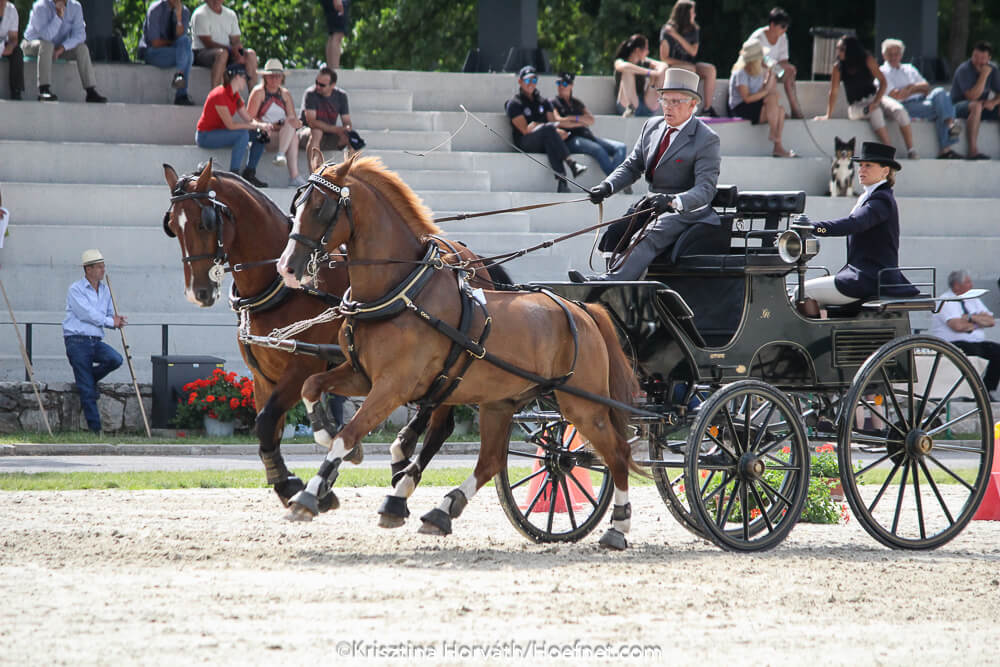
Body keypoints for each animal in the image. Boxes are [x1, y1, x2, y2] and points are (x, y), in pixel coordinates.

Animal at [162, 158, 511, 519]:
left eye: (205, 222)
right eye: (172, 224)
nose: (198, 292)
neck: (279, 289)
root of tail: (471, 258)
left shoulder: (302, 367)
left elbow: (268, 421)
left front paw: (298, 483)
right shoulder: (263, 377)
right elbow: (268, 430)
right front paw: (295, 482)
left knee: (440, 425)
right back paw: (401, 457)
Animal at [276, 151, 642, 550]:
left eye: (320, 207)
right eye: (296, 204)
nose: (287, 267)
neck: (402, 291)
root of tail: (583, 310)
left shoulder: (392, 387)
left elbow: (349, 434)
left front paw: (307, 497)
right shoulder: (362, 375)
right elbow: (312, 387)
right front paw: (323, 433)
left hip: (583, 405)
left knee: (618, 454)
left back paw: (618, 526)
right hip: (500, 403)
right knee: (492, 461)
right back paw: (441, 509)